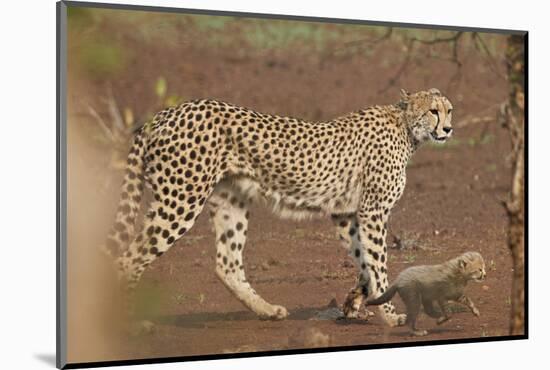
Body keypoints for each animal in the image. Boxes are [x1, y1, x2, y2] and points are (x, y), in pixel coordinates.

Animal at [103, 88, 452, 328]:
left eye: (449, 110)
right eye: (433, 111)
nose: (448, 129)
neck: (406, 126)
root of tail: (165, 113)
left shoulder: (346, 213)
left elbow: (364, 260)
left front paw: (354, 303)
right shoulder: (373, 211)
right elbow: (378, 264)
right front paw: (391, 316)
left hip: (231, 202)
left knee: (227, 264)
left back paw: (267, 310)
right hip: (179, 200)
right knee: (127, 259)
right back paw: (133, 323)